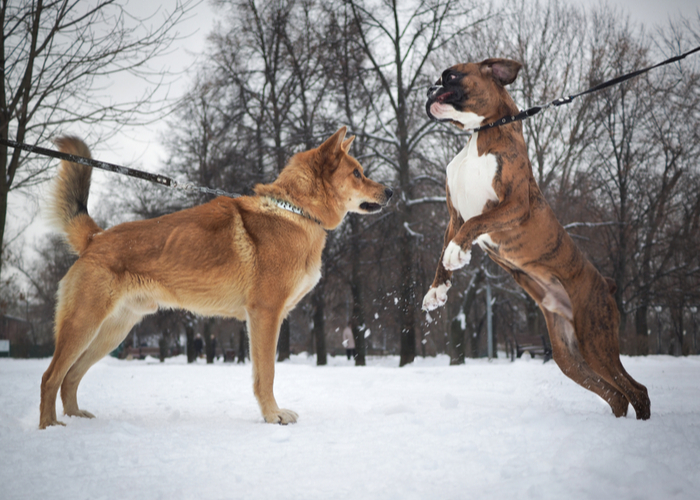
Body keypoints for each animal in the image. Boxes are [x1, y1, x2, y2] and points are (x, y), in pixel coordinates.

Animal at [39, 127, 394, 428]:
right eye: (357, 173)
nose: (391, 191)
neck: (294, 210)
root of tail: (95, 238)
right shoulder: (265, 315)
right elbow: (266, 374)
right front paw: (273, 416)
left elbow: (263, 373)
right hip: (84, 324)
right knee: (51, 377)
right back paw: (51, 427)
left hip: (111, 332)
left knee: (70, 377)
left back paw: (75, 419)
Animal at [422, 57, 652, 418]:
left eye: (451, 75)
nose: (429, 87)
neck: (482, 134)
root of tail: (606, 284)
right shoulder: (453, 215)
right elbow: (445, 250)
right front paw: (437, 290)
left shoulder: (514, 205)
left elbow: (475, 223)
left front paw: (458, 251)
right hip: (569, 355)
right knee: (616, 394)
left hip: (595, 340)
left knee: (636, 390)